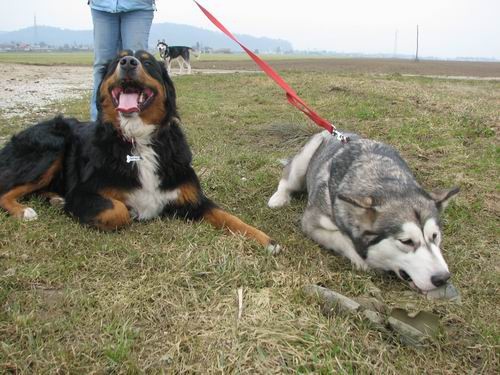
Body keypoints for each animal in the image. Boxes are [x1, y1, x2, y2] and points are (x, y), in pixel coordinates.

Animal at [0, 50, 280, 254]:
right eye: (116, 61)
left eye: (147, 62)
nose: (128, 62)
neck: (138, 141)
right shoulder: (82, 192)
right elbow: (117, 210)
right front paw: (129, 211)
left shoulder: (193, 199)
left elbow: (229, 217)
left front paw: (265, 239)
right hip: (52, 147)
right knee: (5, 190)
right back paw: (25, 210)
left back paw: (53, 199)